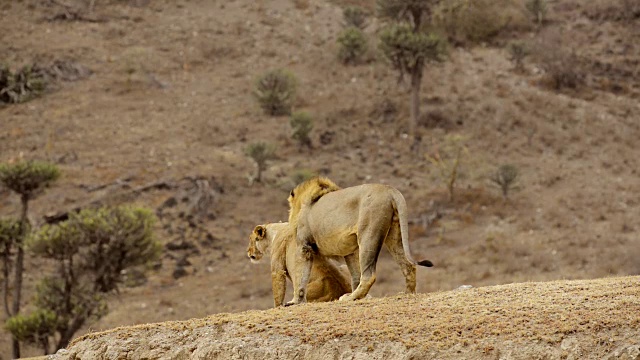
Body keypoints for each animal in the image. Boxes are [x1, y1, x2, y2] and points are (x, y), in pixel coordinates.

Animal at [288, 176, 432, 304]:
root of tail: (389, 190)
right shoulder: (349, 250)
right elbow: (355, 275)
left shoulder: (304, 246)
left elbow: (300, 275)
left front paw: (296, 301)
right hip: (394, 234)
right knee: (408, 266)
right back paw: (407, 293)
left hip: (368, 234)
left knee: (369, 275)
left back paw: (349, 297)